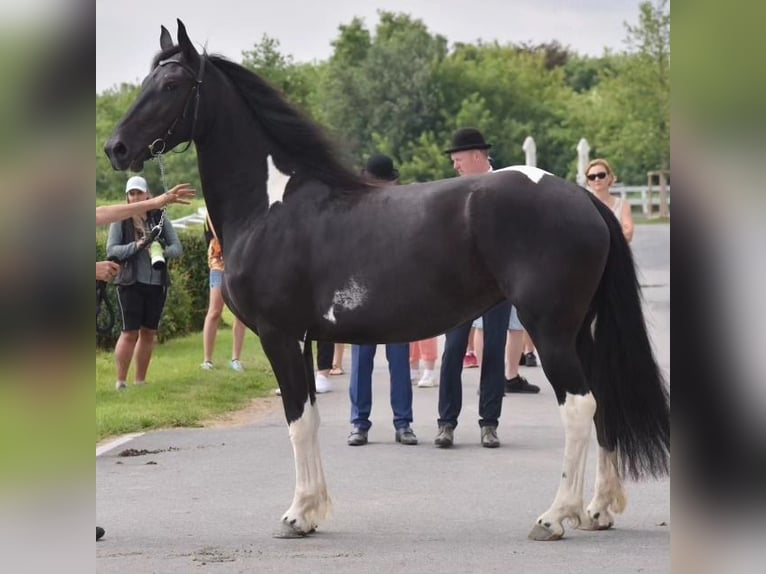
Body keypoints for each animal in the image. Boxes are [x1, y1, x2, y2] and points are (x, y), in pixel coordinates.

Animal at [105, 21, 668, 544]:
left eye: (171, 83)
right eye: (147, 80)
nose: (116, 147)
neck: (272, 208)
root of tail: (583, 199)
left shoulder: (280, 336)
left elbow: (297, 420)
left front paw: (297, 515)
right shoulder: (303, 340)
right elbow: (309, 417)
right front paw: (313, 511)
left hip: (550, 331)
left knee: (579, 406)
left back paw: (555, 517)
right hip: (583, 332)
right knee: (604, 402)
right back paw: (599, 510)